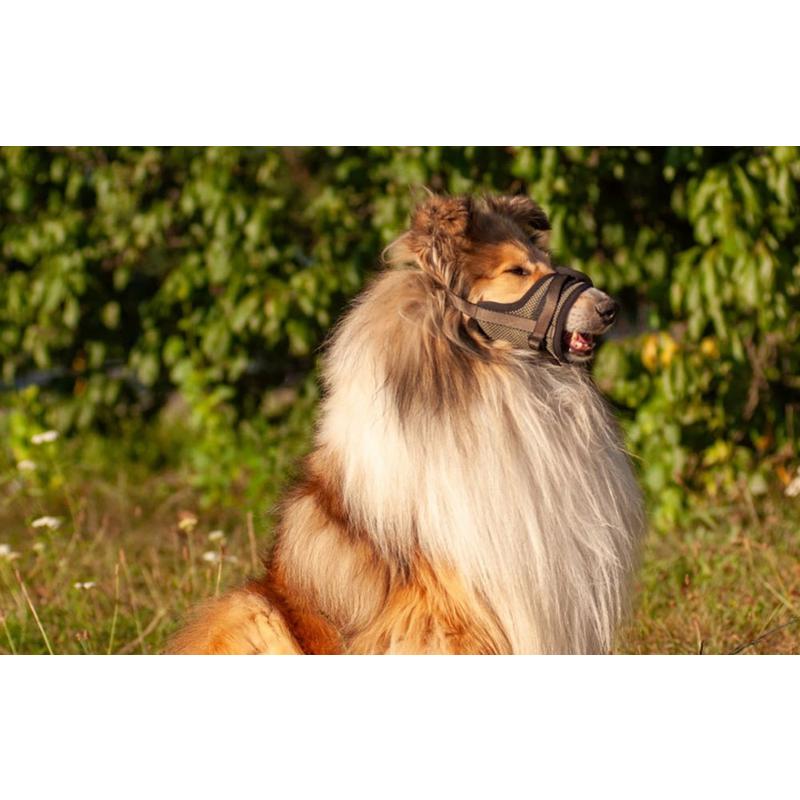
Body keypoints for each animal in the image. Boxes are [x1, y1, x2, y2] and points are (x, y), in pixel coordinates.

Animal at [168, 194, 645, 654]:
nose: (611, 308)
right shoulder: (447, 601)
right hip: (251, 608)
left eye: (546, 261)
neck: (499, 377)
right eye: (517, 270)